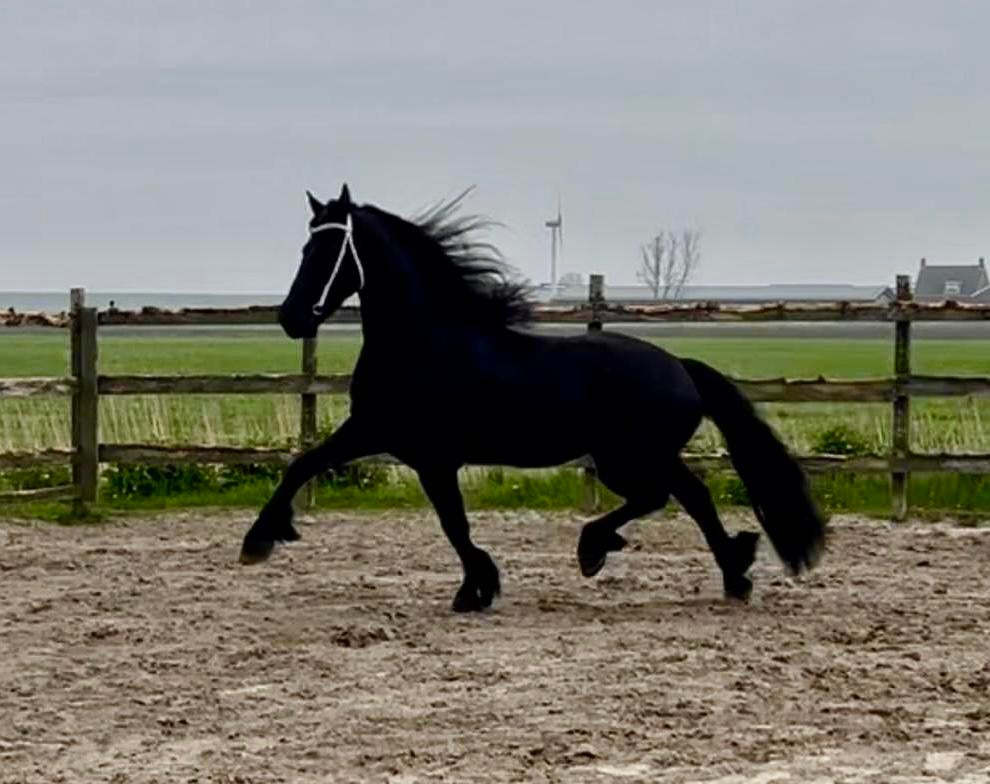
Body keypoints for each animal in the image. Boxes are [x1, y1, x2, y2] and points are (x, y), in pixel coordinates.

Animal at [239, 184, 826, 611]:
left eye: (328, 250)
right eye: (306, 246)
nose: (291, 318)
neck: (425, 343)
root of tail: (681, 367)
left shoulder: (424, 454)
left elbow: (452, 523)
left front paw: (477, 588)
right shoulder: (380, 436)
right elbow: (305, 464)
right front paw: (262, 539)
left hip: (625, 458)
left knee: (663, 496)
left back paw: (598, 549)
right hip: (642, 456)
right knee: (692, 495)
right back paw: (734, 574)